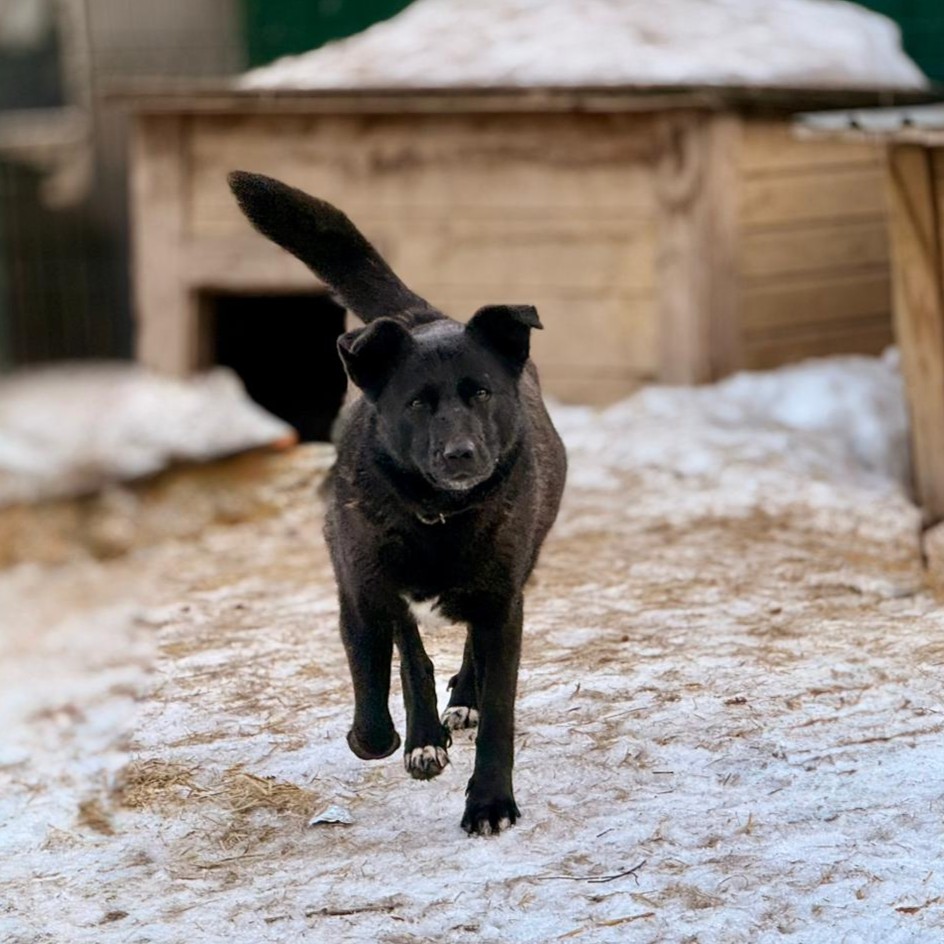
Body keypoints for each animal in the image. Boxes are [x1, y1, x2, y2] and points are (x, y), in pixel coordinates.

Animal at [228, 172, 566, 835]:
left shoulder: (503, 601)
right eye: (416, 403)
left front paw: (490, 800)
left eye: (481, 393)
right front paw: (396, 739)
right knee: (411, 656)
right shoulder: (362, 591)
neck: (440, 517)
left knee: (468, 654)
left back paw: (459, 705)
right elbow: (377, 689)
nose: (461, 454)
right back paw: (424, 736)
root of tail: (423, 316)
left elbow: (500, 712)